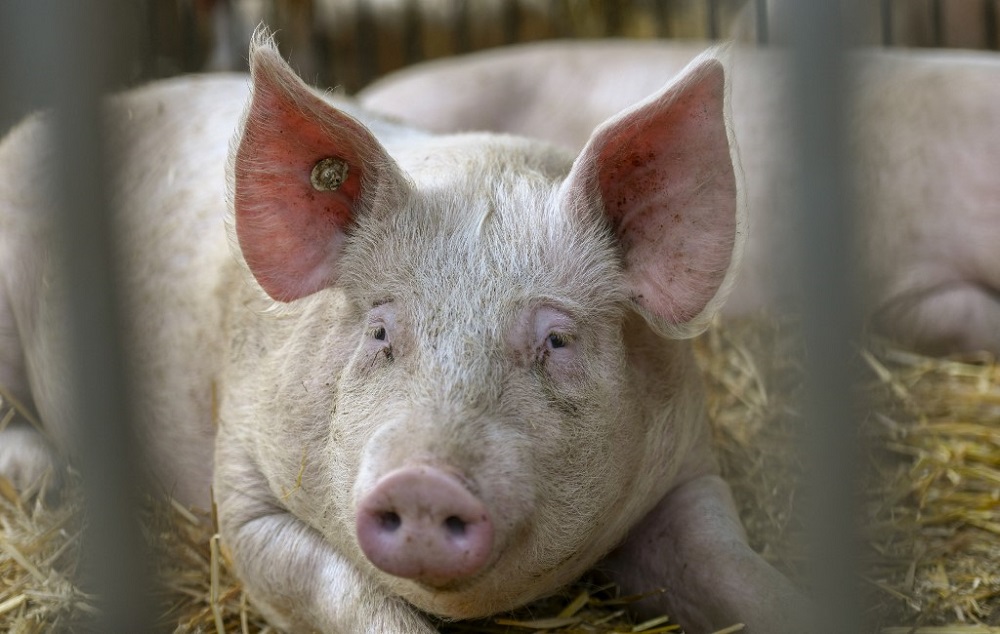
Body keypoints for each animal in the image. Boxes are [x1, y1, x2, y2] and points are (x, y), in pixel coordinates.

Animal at [0, 30, 805, 634]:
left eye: (557, 341)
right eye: (383, 329)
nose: (423, 479)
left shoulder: (689, 471)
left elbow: (735, 571)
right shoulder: (243, 490)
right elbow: (352, 600)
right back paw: (34, 475)